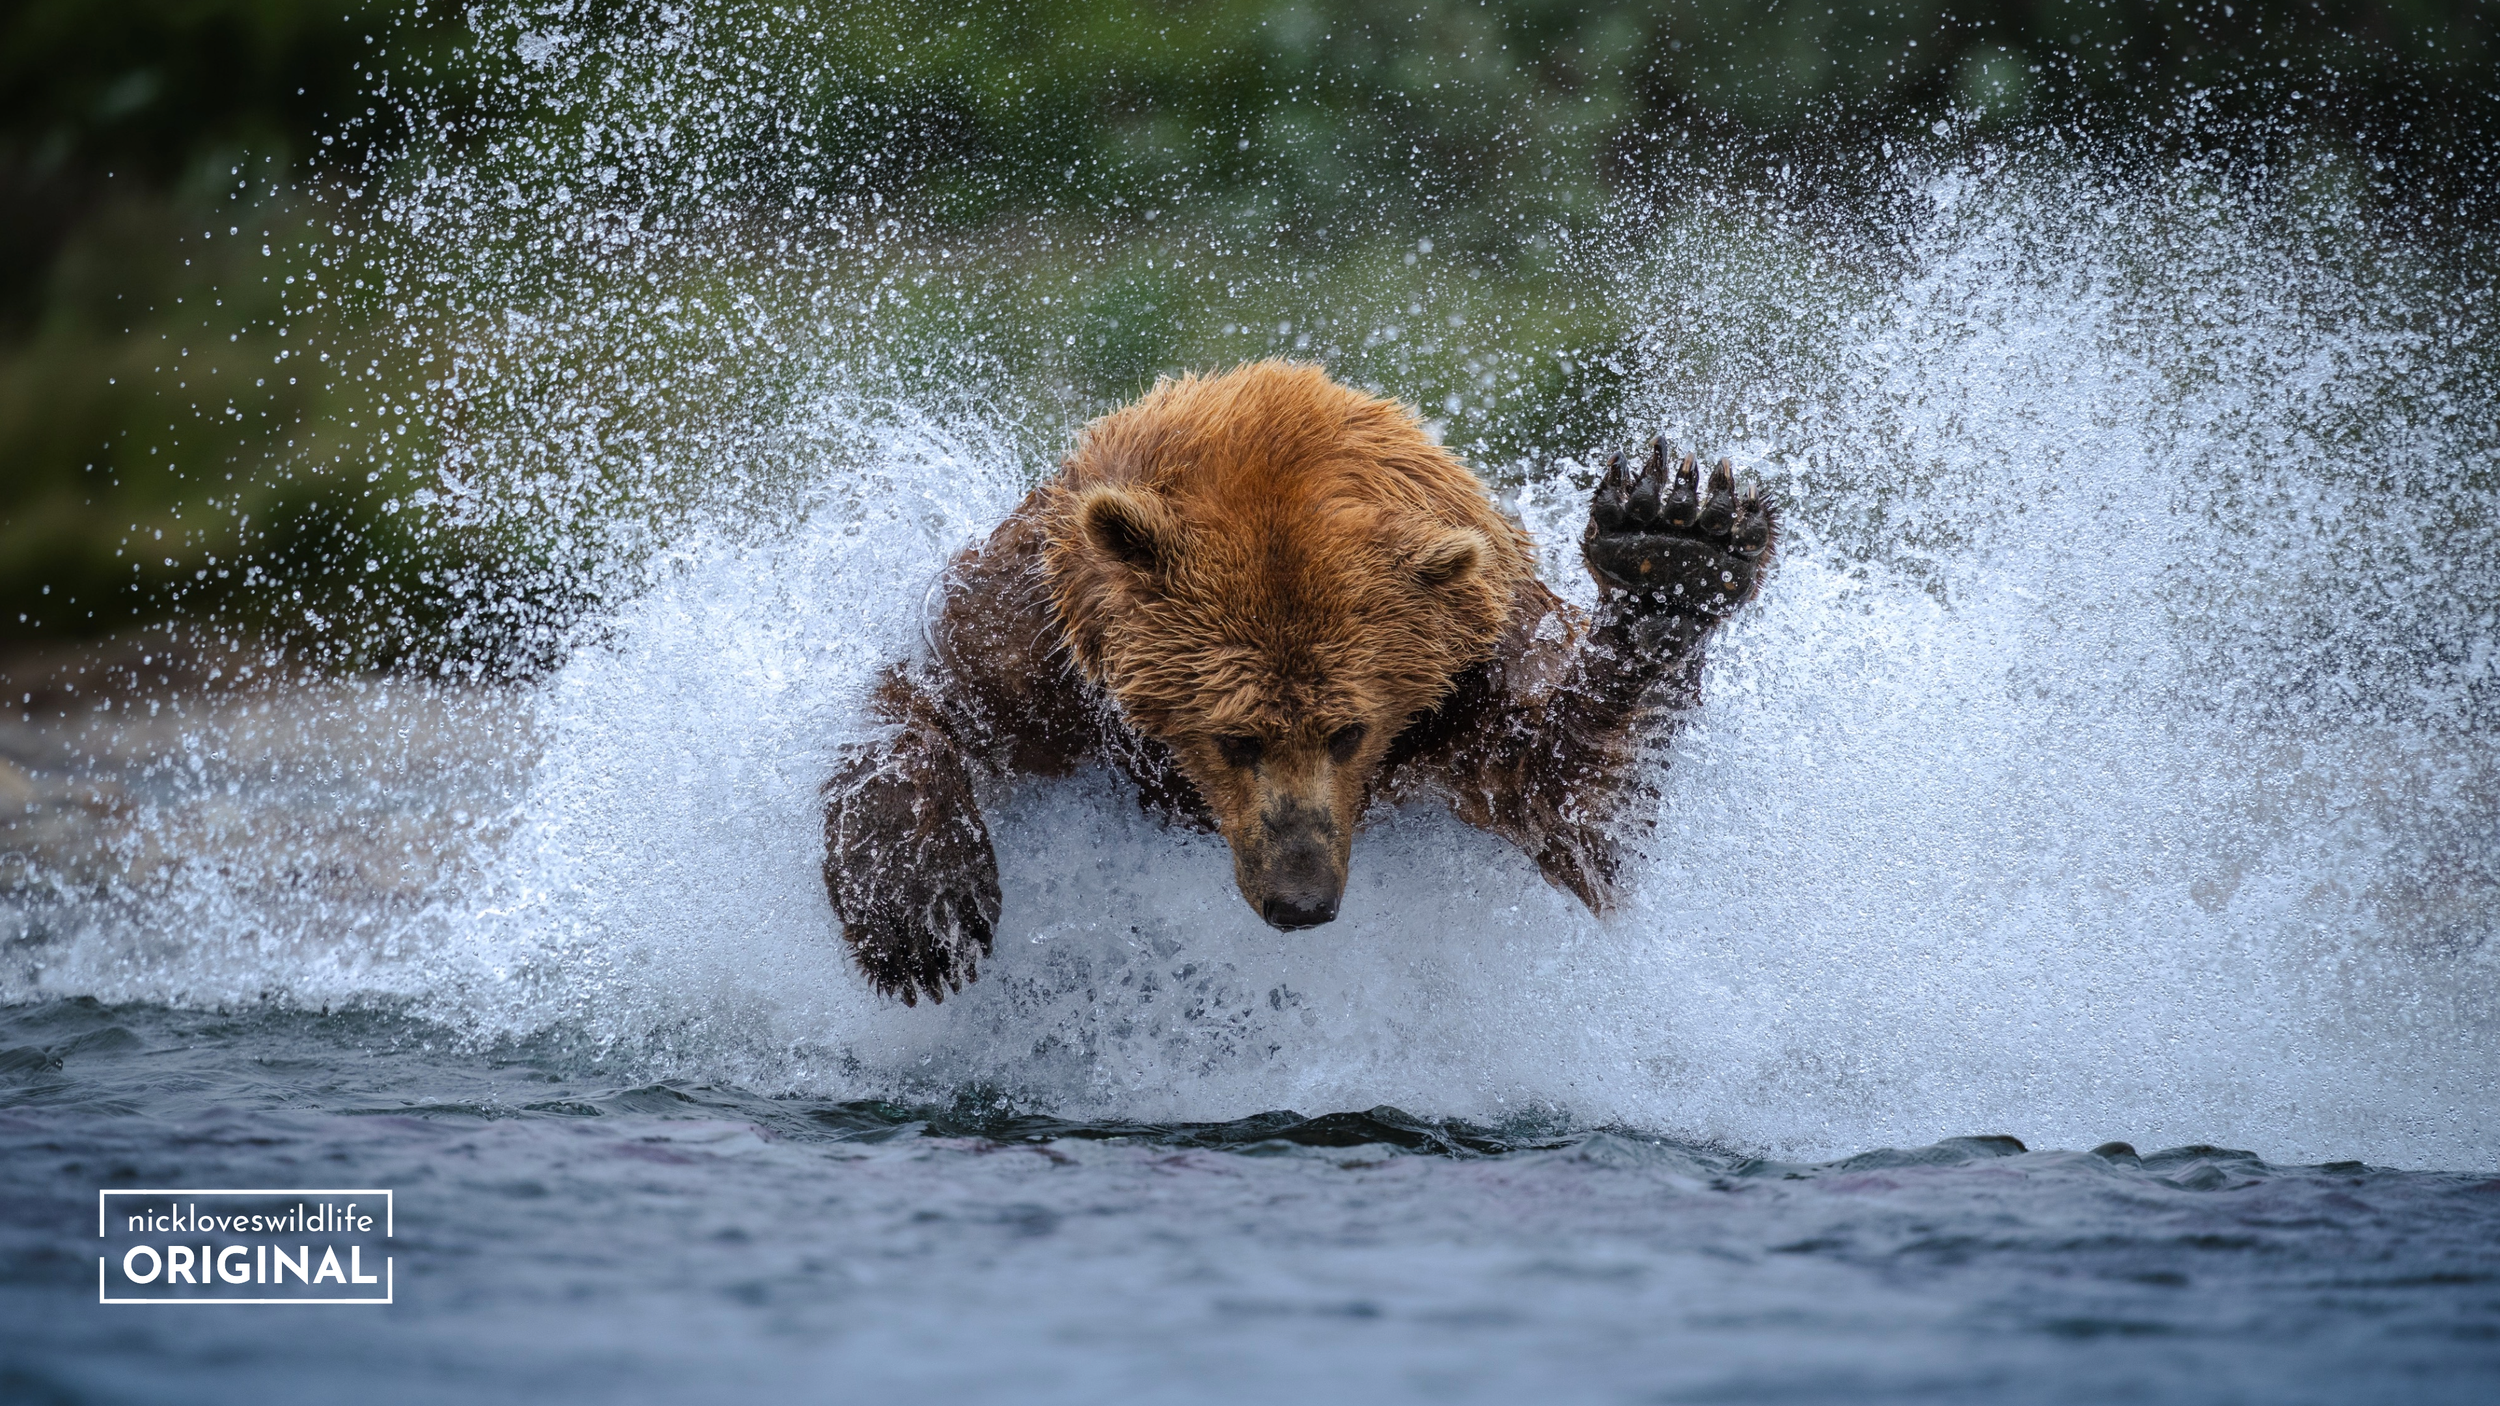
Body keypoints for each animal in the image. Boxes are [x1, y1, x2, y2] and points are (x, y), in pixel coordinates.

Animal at [823, 360, 1775, 1004]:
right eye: (1234, 736)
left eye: (1350, 730)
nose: (1301, 899)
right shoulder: (1046, 640)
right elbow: (932, 703)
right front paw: (922, 920)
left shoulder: (1475, 672)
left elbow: (1575, 803)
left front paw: (1674, 549)